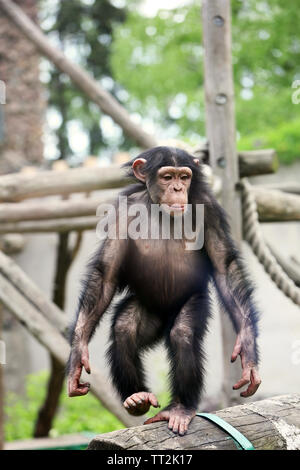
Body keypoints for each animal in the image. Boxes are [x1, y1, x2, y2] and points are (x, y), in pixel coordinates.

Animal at [67, 147, 260, 436]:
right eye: (167, 176)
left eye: (185, 176)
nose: (178, 188)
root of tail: (163, 321)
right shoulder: (121, 212)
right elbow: (105, 275)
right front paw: (77, 357)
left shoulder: (209, 208)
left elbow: (224, 266)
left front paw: (247, 350)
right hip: (147, 310)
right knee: (123, 329)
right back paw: (136, 398)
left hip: (191, 303)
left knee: (182, 334)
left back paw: (180, 408)